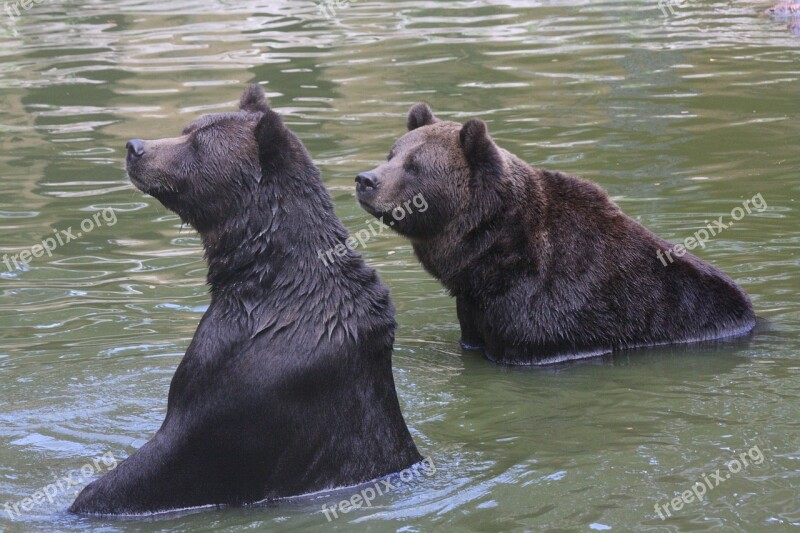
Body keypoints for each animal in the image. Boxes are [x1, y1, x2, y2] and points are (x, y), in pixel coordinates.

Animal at [67, 85, 424, 512]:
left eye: (198, 143)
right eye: (188, 129)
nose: (135, 147)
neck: (264, 276)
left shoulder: (241, 377)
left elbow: (167, 457)